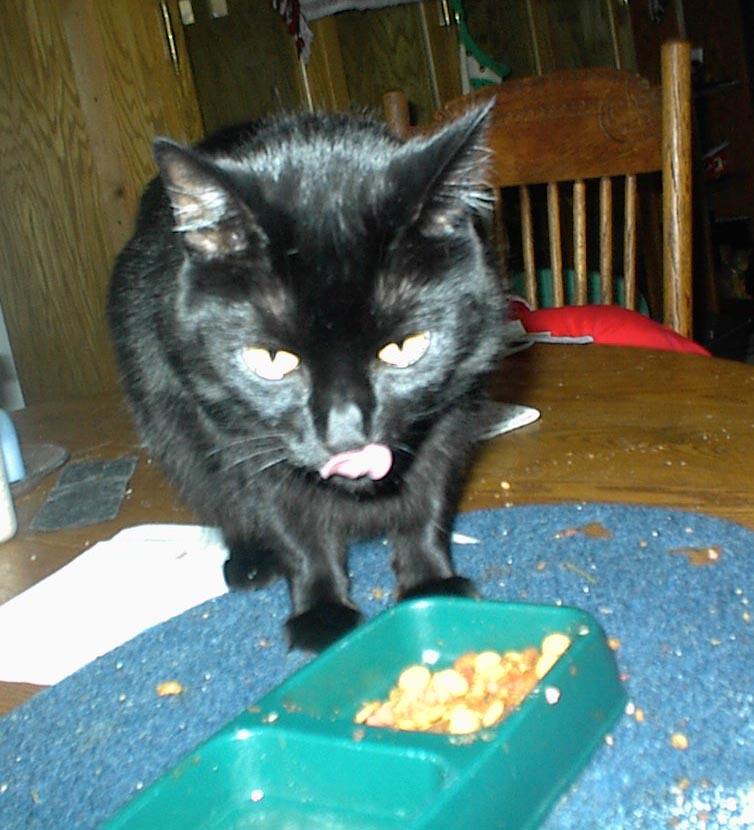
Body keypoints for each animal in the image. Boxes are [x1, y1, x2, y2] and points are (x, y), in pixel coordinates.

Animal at [107, 102, 509, 652]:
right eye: (272, 360)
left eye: (404, 349)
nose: (347, 436)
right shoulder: (238, 435)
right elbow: (293, 526)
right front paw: (321, 612)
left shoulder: (452, 411)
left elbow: (426, 505)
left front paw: (432, 585)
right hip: (170, 425)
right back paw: (251, 561)